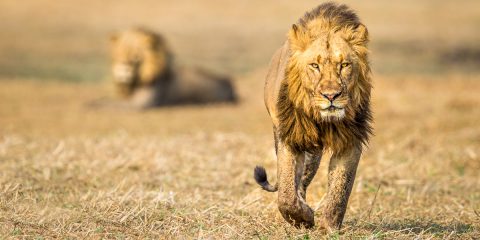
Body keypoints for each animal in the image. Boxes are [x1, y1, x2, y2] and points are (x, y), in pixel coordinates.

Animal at [102, 27, 237, 109]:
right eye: (119, 54)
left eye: (136, 56)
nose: (122, 69)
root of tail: (229, 83)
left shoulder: (140, 104)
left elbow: (104, 104)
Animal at [253, 2, 374, 230]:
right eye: (315, 66)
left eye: (344, 65)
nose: (331, 95)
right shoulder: (290, 136)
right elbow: (286, 191)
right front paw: (302, 218)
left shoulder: (351, 139)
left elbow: (340, 187)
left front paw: (329, 225)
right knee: (294, 182)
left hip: (313, 153)